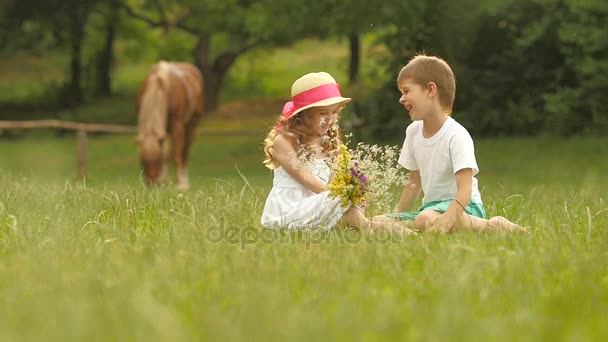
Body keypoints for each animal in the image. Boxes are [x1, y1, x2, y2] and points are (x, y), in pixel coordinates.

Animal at [135, 61, 204, 190]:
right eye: (142, 162)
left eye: (158, 161)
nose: (152, 185)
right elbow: (166, 154)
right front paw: (164, 181)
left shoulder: (177, 125)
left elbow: (176, 154)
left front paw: (180, 184)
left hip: (191, 124)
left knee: (184, 152)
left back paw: (184, 181)